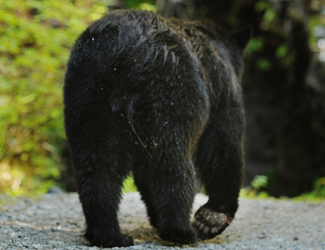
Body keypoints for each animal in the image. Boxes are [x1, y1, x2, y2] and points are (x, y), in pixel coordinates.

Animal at [64, 9, 251, 248]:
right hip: (171, 91)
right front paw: (213, 216)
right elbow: (224, 144)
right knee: (171, 162)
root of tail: (121, 45)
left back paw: (109, 234)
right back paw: (180, 230)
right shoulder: (222, 89)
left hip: (87, 95)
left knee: (97, 166)